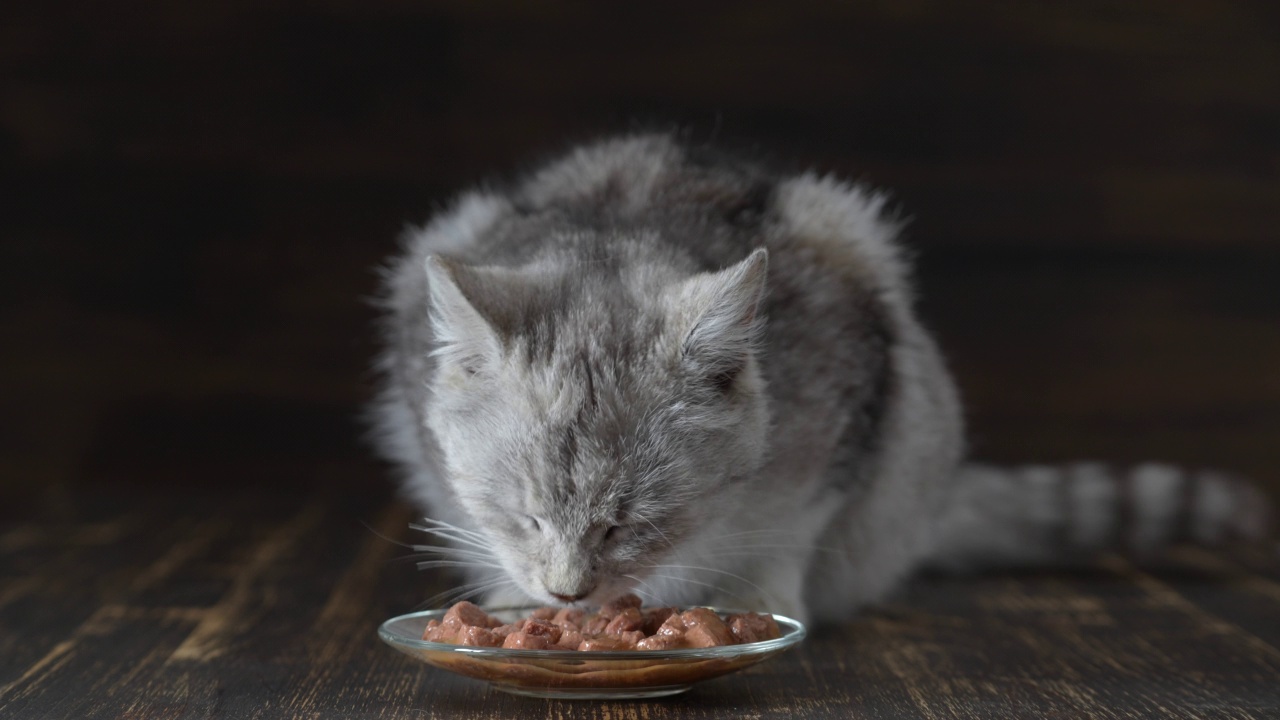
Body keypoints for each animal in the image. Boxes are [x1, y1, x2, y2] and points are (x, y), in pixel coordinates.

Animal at [371, 134, 1269, 622]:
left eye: (628, 523)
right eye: (520, 515)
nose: (565, 596)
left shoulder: (852, 405)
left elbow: (789, 531)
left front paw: (748, 601)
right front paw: (511, 599)